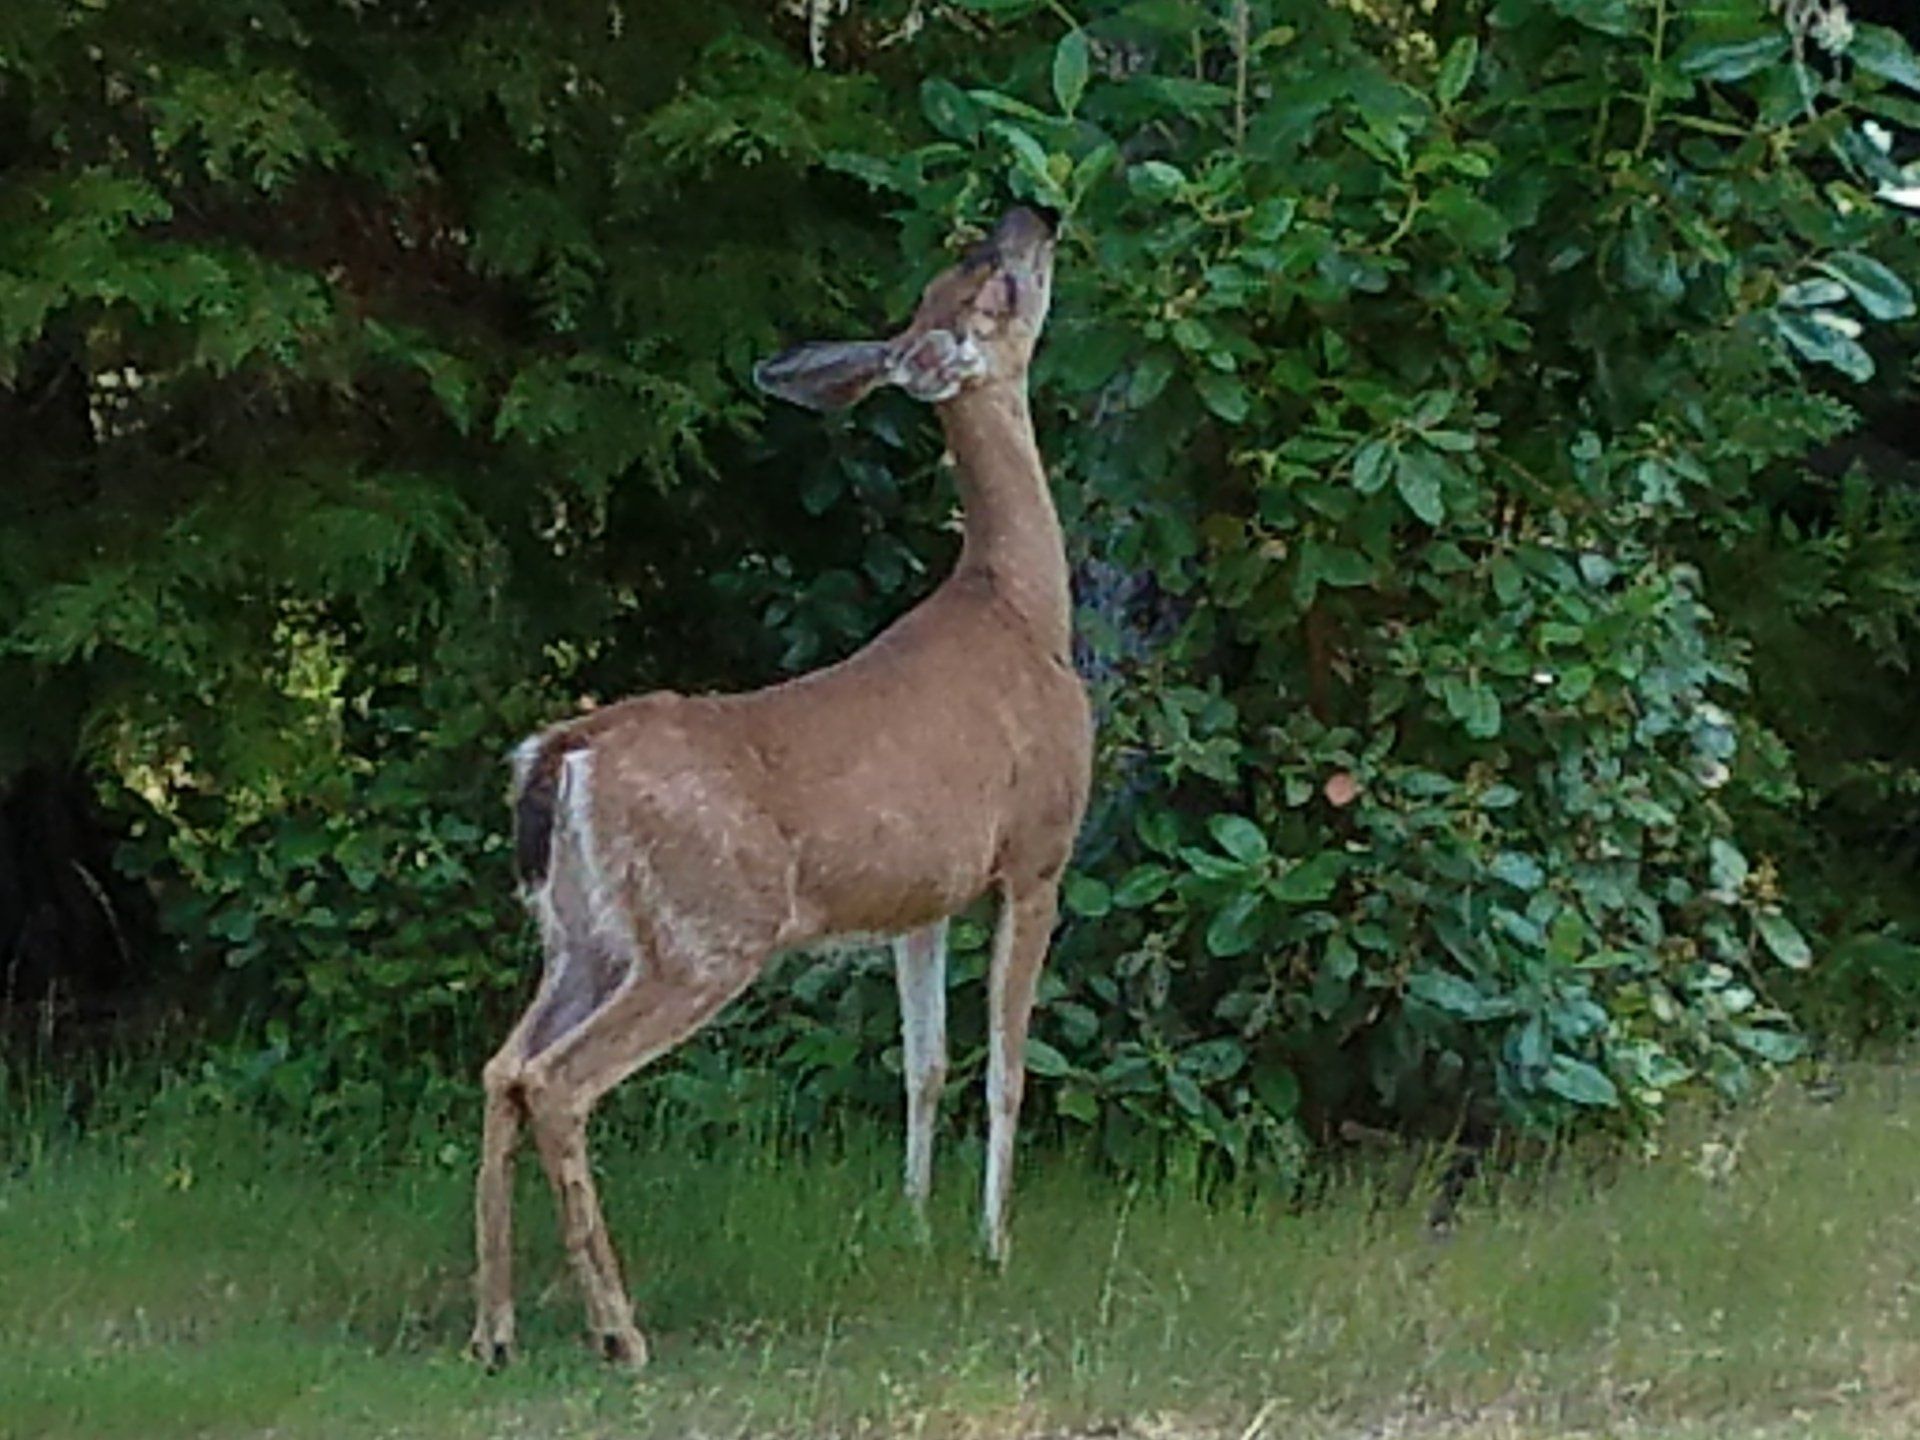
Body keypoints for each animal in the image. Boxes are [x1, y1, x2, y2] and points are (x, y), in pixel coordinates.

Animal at [469, 205, 1092, 1370]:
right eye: (991, 281)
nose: (1032, 214)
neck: (1024, 609)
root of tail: (565, 754)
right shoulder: (1037, 852)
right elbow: (1005, 1064)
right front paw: (993, 1243)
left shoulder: (922, 895)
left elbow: (923, 1062)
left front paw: (912, 1225)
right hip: (708, 933)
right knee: (556, 1083)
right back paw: (619, 1332)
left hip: (584, 936)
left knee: (501, 1068)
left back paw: (495, 1331)